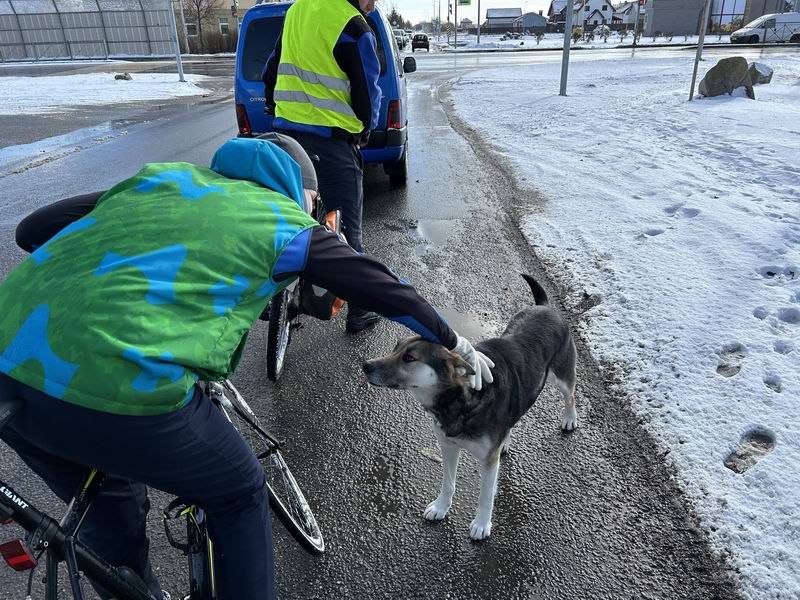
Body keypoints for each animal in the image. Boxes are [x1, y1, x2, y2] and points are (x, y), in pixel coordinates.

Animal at [362, 274, 576, 540]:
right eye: (395, 347)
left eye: (409, 358)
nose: (366, 366)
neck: (458, 402)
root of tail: (545, 306)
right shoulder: (448, 446)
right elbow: (448, 484)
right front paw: (441, 507)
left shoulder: (488, 461)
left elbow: (485, 497)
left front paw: (482, 524)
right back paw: (506, 440)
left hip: (562, 374)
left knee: (570, 396)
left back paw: (570, 419)